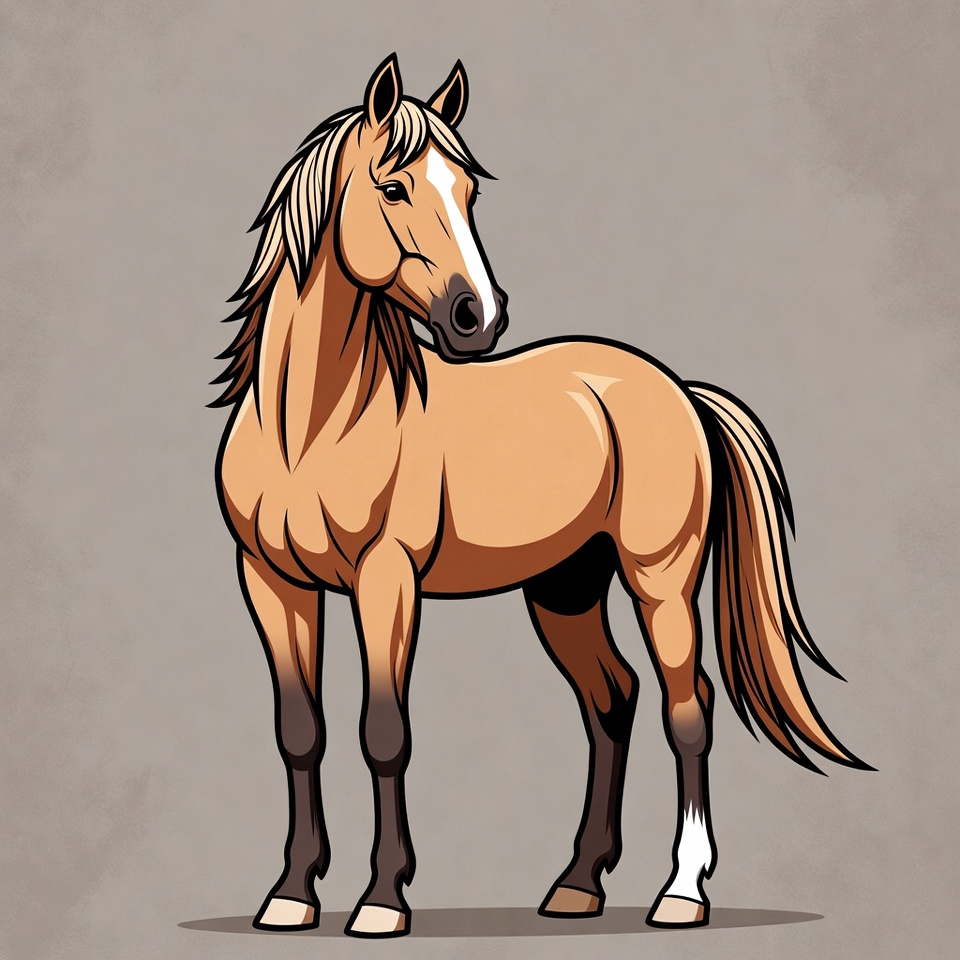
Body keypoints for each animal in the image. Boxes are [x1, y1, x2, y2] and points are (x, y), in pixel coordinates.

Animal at [212, 54, 869, 938]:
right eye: (394, 187)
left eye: (468, 189)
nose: (478, 317)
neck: (311, 426)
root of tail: (678, 390)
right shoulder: (272, 582)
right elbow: (299, 732)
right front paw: (289, 894)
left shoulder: (386, 580)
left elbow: (384, 731)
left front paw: (383, 900)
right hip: (565, 590)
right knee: (613, 700)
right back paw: (577, 885)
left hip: (660, 582)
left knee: (686, 706)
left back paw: (681, 893)